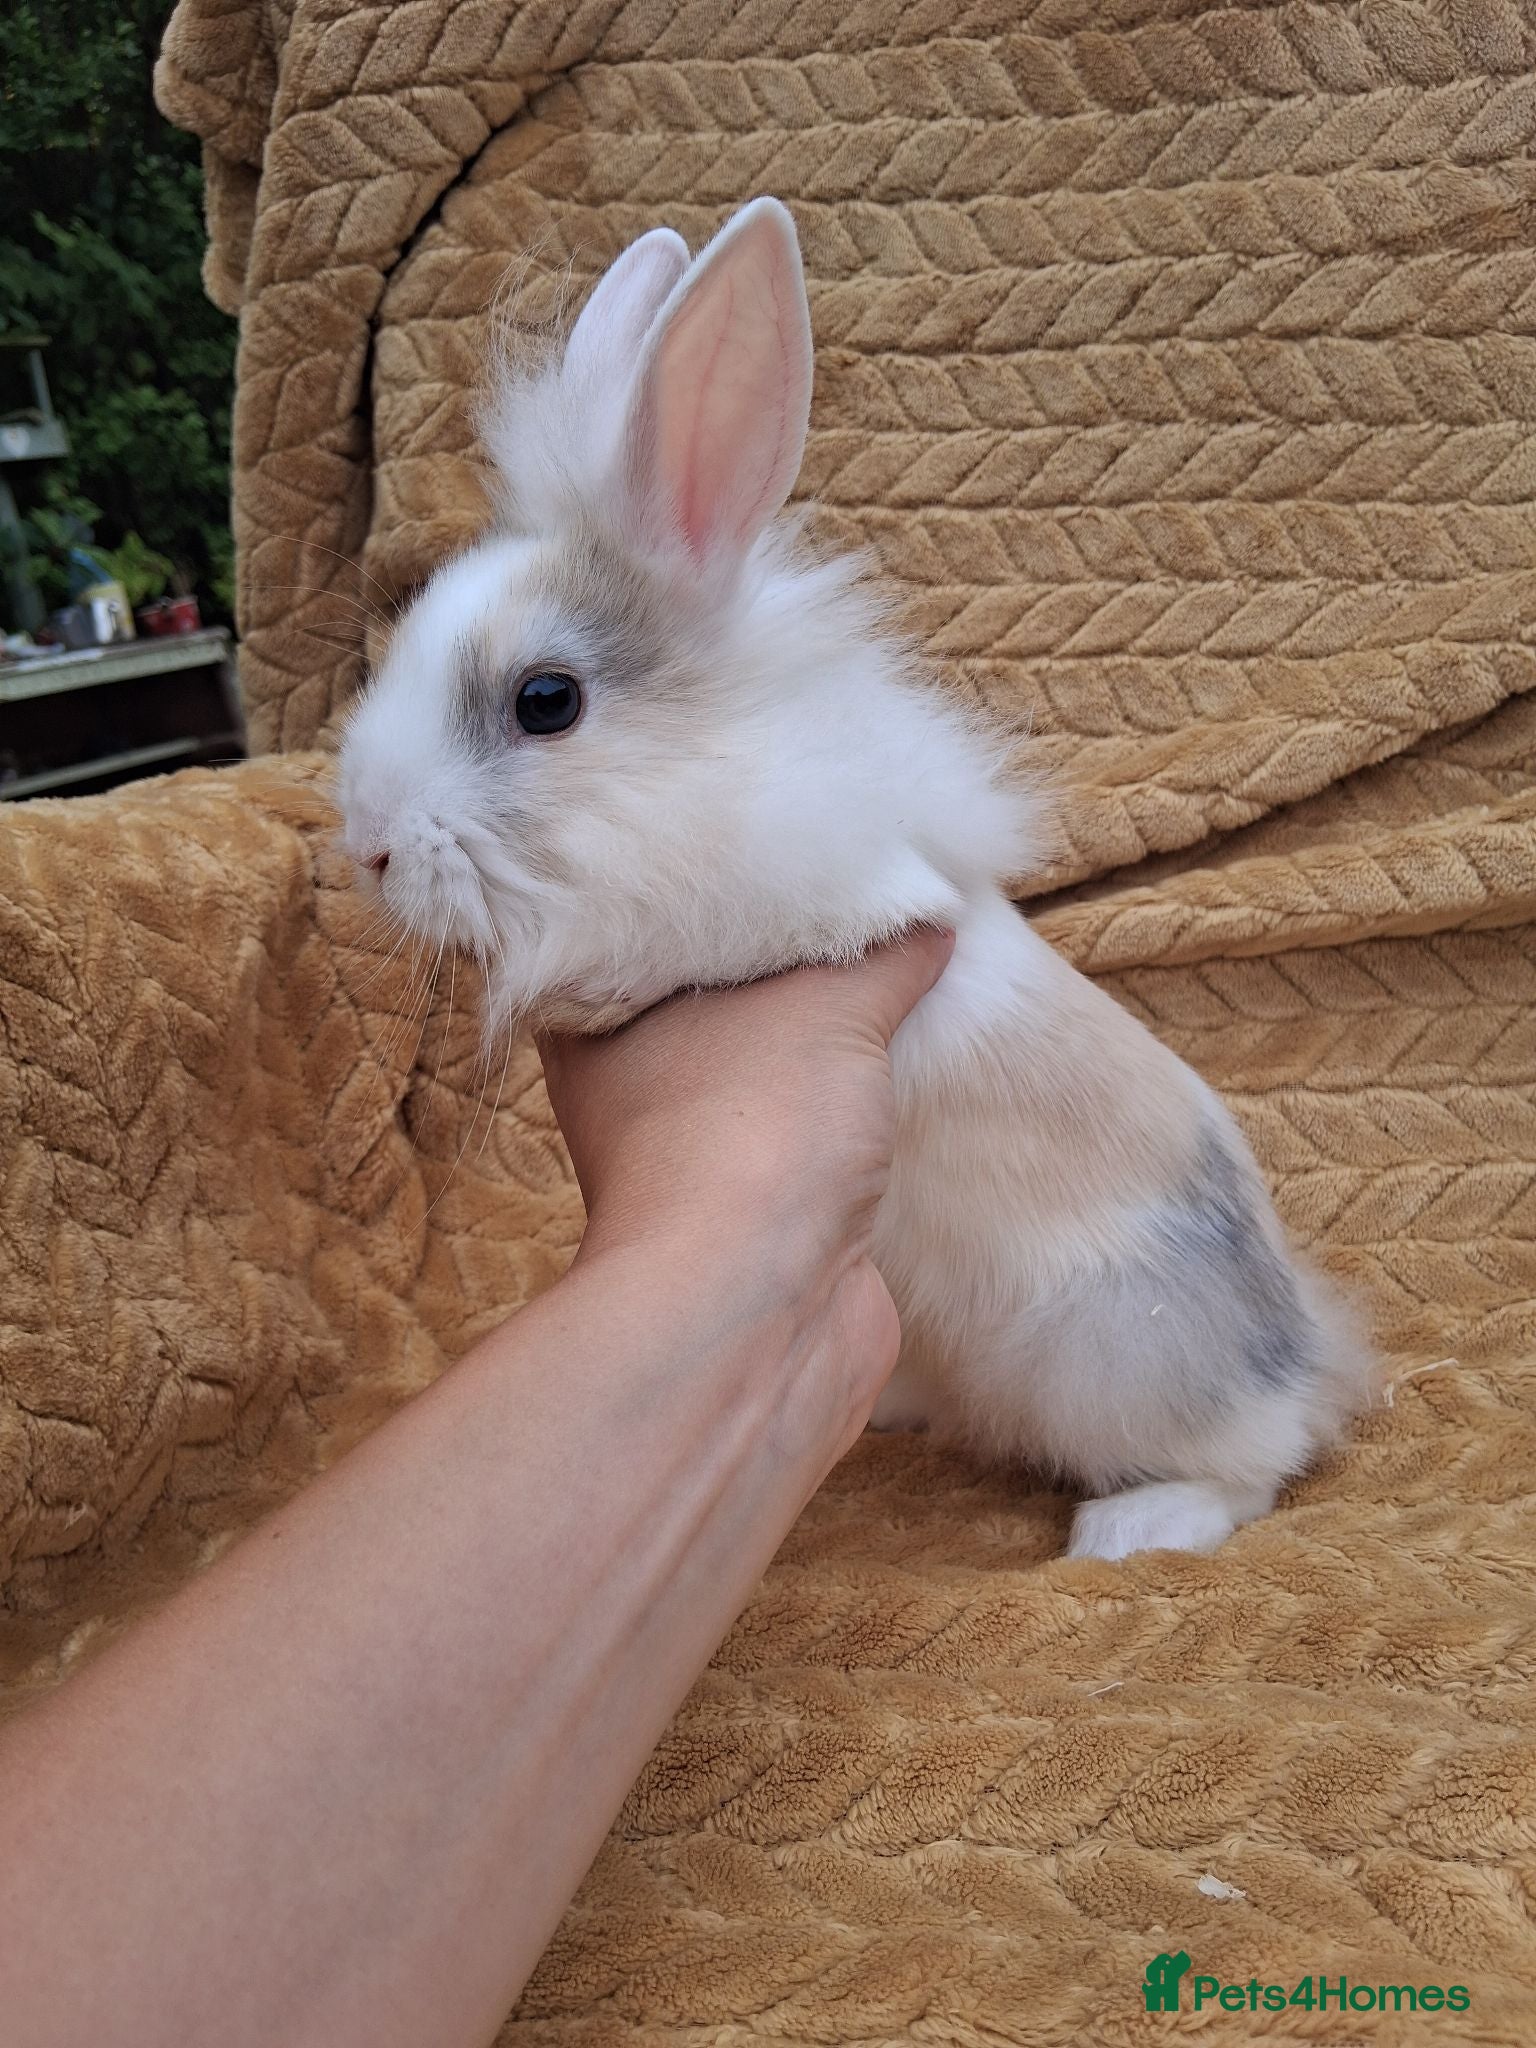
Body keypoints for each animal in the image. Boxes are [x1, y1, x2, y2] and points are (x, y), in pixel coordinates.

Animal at [338, 199, 1369, 1560]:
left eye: (545, 700)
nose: (366, 842)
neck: (695, 773)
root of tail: (1303, 1352)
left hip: (1118, 1361)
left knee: (1260, 1464)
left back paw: (1131, 1527)